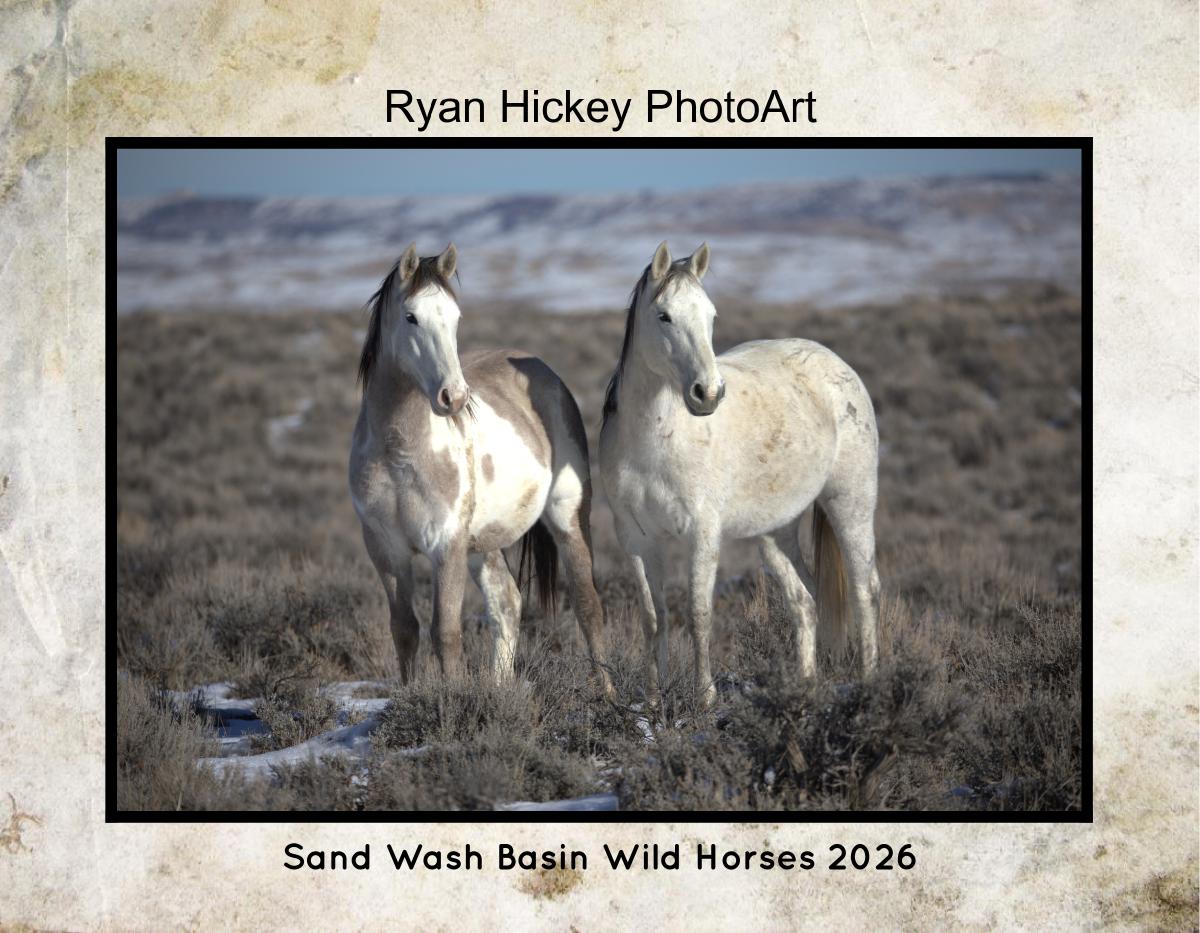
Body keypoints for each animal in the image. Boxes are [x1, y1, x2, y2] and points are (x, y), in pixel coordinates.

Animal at [349, 243, 612, 695]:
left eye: (455, 318)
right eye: (411, 316)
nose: (453, 398)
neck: (398, 454)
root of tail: (540, 369)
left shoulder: (446, 546)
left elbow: (445, 633)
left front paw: (451, 699)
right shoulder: (386, 550)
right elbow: (405, 630)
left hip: (567, 517)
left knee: (587, 604)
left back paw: (608, 693)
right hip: (483, 545)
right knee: (507, 604)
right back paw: (501, 688)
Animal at [598, 241, 881, 708]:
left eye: (711, 315)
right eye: (664, 316)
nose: (708, 394)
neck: (654, 442)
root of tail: (839, 366)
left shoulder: (702, 533)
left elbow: (698, 613)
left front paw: (705, 697)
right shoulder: (637, 539)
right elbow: (653, 617)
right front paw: (653, 700)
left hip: (851, 503)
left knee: (864, 590)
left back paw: (872, 681)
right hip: (775, 531)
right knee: (805, 600)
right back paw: (805, 686)